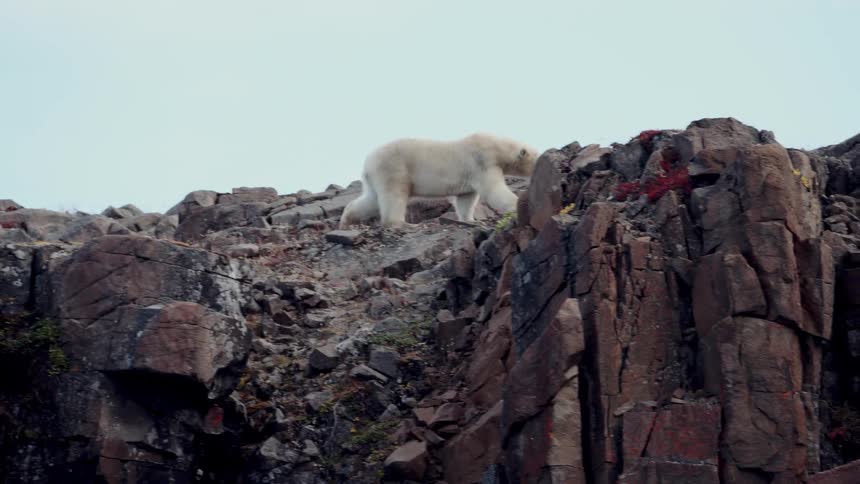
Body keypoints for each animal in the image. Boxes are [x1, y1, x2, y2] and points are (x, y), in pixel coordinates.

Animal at [338, 133, 539, 229]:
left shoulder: (472, 173)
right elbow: (494, 190)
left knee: (371, 199)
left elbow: (466, 198)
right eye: (537, 158)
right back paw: (403, 224)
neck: (496, 148)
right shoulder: (481, 162)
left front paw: (471, 220)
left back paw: (347, 219)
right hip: (393, 168)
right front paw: (516, 206)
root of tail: (367, 163)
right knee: (394, 195)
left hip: (376, 177)